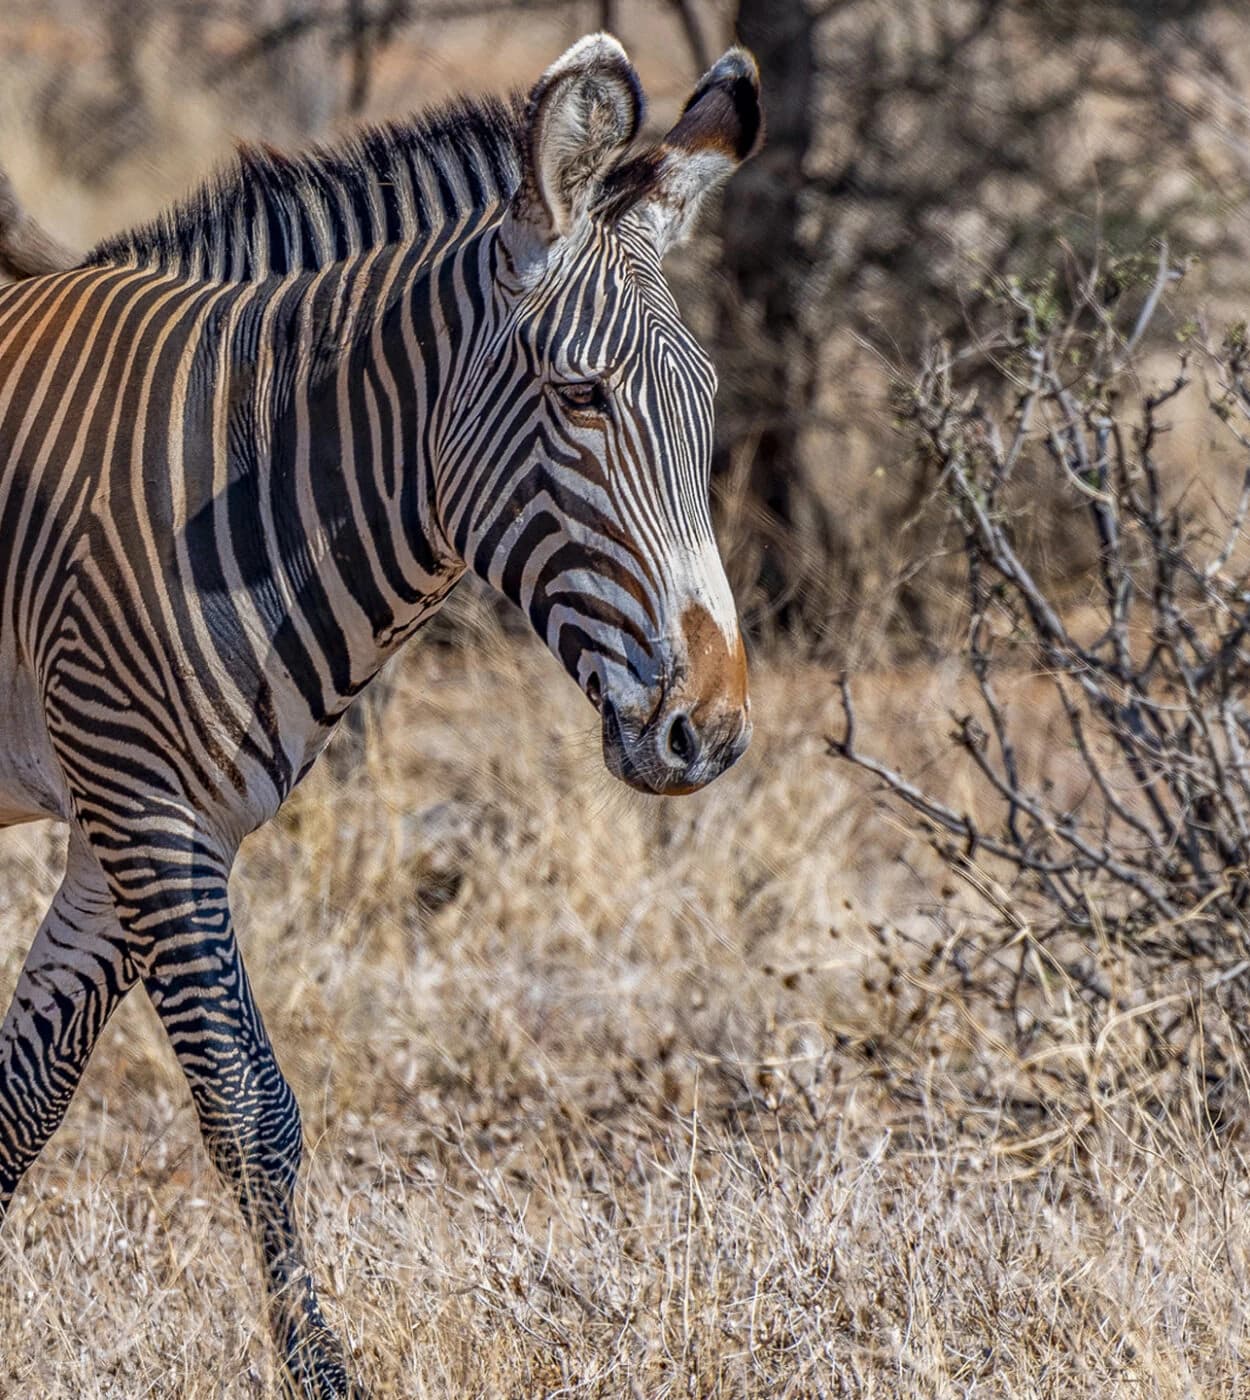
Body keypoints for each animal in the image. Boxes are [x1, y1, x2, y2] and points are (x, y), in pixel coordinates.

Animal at [0, 33, 760, 1397]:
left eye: (706, 399)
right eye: (580, 397)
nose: (711, 730)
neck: (234, 477)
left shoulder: (122, 825)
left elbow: (23, 1096)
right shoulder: (146, 808)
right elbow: (250, 1106)